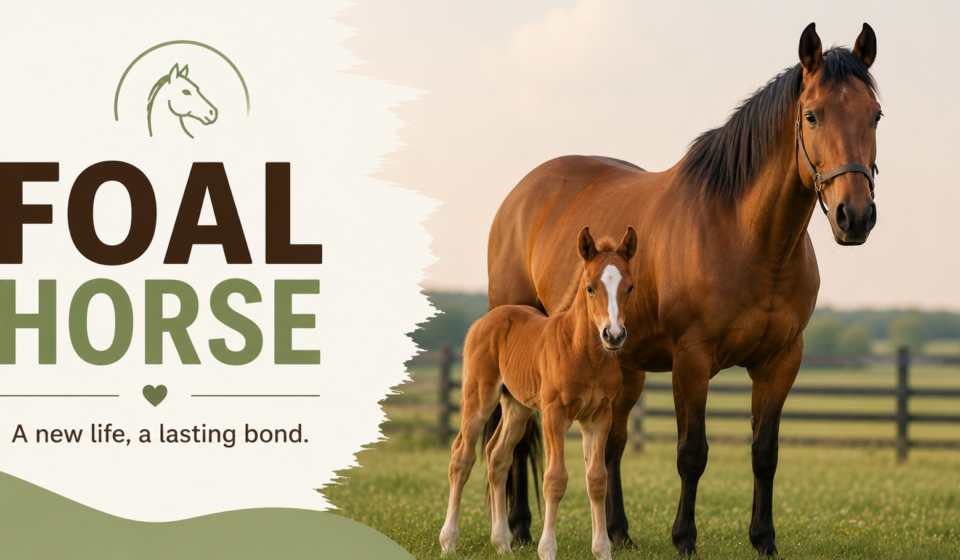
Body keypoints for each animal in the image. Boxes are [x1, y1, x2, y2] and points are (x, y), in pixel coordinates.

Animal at [440, 226, 638, 560]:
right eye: (589, 288)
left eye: (630, 287)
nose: (613, 335)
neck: (585, 354)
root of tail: (485, 320)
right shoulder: (554, 414)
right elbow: (555, 479)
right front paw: (547, 550)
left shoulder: (599, 416)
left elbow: (597, 479)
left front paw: (602, 550)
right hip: (479, 398)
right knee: (461, 457)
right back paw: (449, 541)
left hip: (516, 407)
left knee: (497, 456)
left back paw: (502, 543)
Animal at [484, 22, 881, 557]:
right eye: (812, 115)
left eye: (875, 115)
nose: (854, 217)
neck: (747, 237)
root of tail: (522, 195)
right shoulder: (691, 359)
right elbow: (692, 453)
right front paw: (685, 537)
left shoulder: (780, 361)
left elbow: (765, 452)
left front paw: (764, 539)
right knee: (522, 436)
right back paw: (522, 528)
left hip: (624, 367)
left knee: (610, 445)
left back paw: (618, 532)